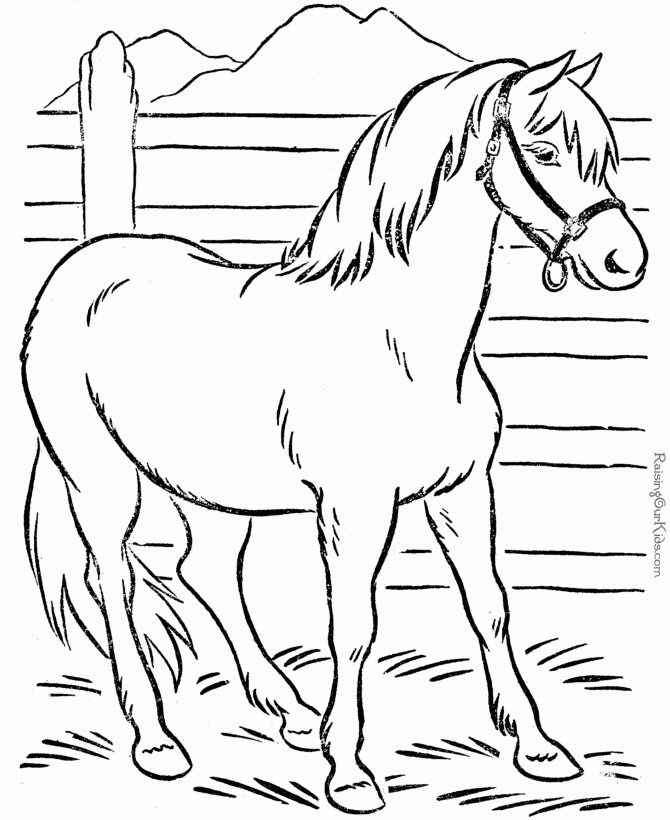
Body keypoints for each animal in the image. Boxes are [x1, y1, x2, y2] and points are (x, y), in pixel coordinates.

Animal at [22, 51, 647, 814]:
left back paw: (286, 710)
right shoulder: (355, 508)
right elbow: (353, 629)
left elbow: (491, 606)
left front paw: (538, 748)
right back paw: (159, 742)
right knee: (114, 579)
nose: (625, 261)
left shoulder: (464, 492)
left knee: (202, 571)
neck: (404, 345)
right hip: (101, 478)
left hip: (214, 487)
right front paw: (348, 772)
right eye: (547, 151)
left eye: (607, 155)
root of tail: (81, 265)